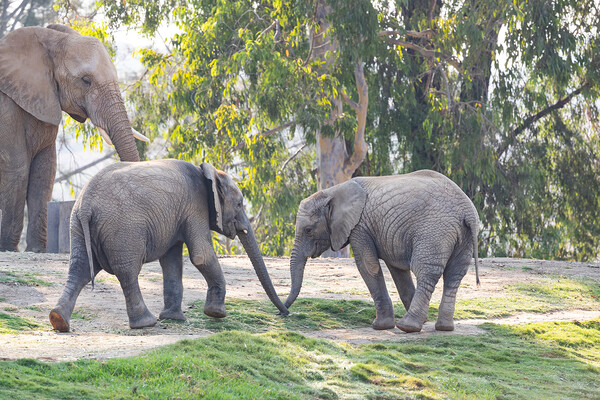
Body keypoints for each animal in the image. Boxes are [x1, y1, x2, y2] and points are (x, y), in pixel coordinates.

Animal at [0, 23, 145, 252]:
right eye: (86, 81)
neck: (48, 39)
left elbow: (44, 172)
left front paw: (36, 250)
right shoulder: (6, 108)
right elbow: (17, 168)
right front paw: (8, 249)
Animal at [49, 159, 288, 332]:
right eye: (239, 204)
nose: (283, 313)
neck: (209, 172)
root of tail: (86, 204)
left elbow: (172, 261)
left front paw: (174, 318)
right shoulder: (195, 206)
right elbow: (200, 255)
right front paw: (216, 314)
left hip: (77, 226)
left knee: (79, 269)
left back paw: (59, 321)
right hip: (123, 229)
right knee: (128, 272)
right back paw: (146, 323)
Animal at [284, 170, 478, 332]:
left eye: (308, 230)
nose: (283, 312)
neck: (332, 191)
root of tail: (467, 211)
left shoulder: (359, 226)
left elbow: (367, 265)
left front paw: (381, 326)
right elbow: (398, 271)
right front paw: (422, 321)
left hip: (434, 231)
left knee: (426, 272)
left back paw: (408, 327)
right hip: (464, 236)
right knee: (454, 275)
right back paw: (444, 327)